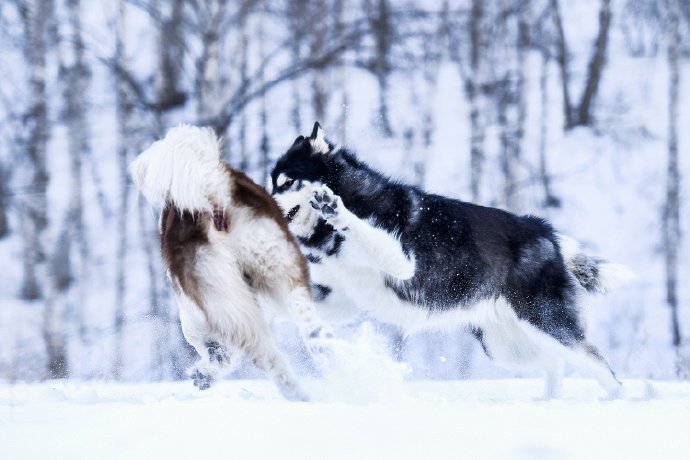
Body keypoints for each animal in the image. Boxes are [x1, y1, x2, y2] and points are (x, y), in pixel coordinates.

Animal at [268, 123, 628, 398]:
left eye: (287, 182)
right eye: (271, 184)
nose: (264, 204)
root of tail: (544, 231)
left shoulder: (402, 263)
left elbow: (361, 228)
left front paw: (336, 209)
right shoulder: (341, 298)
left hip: (546, 322)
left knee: (601, 368)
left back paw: (617, 400)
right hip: (505, 346)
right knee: (556, 363)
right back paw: (548, 403)